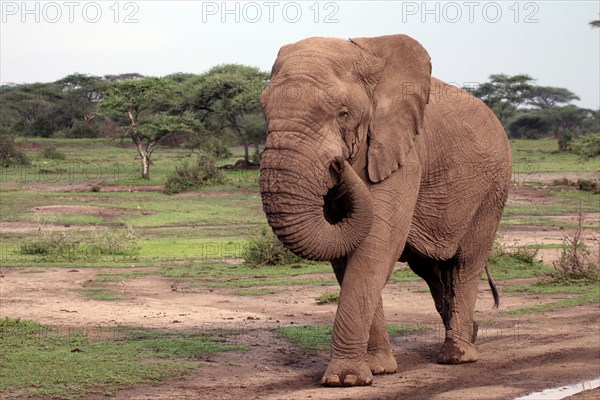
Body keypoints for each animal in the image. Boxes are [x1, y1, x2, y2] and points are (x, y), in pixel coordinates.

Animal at [258, 35, 510, 388]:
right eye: (263, 109)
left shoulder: (406, 155)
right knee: (433, 272)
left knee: (465, 264)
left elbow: (376, 244)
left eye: (343, 113)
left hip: (492, 191)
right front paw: (376, 370)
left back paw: (458, 356)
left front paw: (345, 379)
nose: (338, 164)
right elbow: (347, 252)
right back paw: (471, 336)